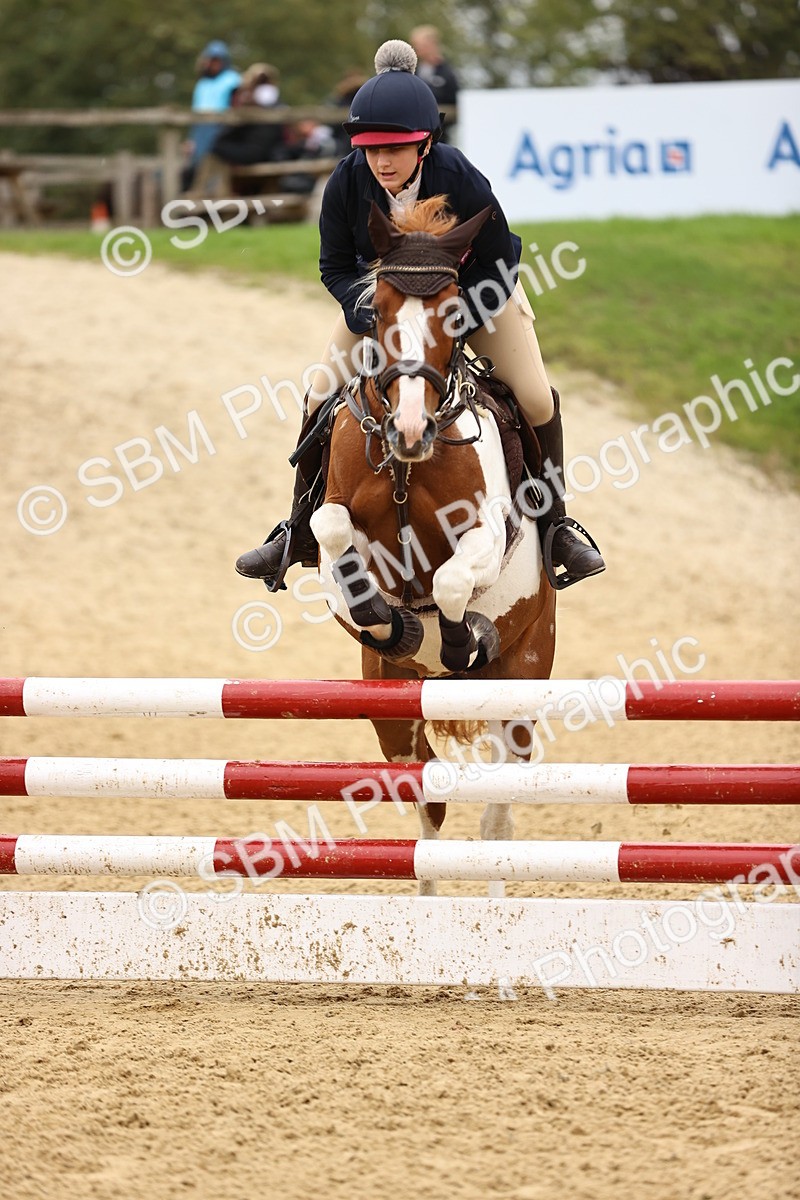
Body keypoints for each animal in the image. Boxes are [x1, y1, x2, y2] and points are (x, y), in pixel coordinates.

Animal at [309, 195, 556, 894]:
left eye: (453, 314)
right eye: (378, 311)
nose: (410, 431)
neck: (409, 465)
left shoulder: (487, 534)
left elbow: (449, 580)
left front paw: (455, 638)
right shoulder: (334, 518)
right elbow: (333, 533)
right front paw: (385, 617)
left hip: (521, 681)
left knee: (498, 815)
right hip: (391, 707)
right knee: (428, 805)